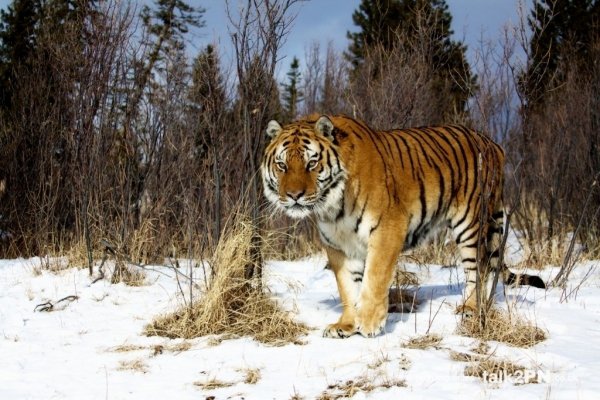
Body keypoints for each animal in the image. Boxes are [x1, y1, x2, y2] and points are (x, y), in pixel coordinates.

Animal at [260, 115, 548, 338]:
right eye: (282, 165)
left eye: (311, 163)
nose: (294, 195)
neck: (331, 207)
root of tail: (494, 144)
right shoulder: (338, 245)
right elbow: (347, 287)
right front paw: (347, 325)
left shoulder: (387, 229)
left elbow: (374, 279)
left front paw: (369, 323)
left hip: (471, 223)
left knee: (479, 268)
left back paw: (470, 309)